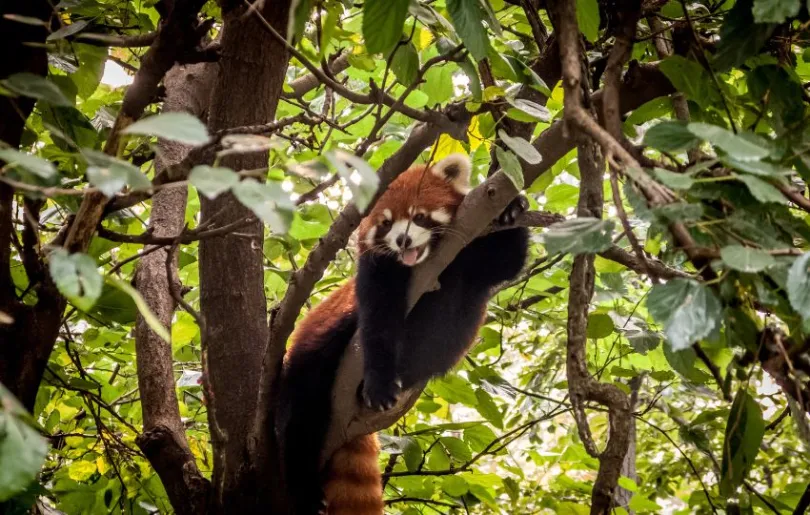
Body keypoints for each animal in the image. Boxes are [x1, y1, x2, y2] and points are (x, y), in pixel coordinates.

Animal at [274, 153, 528, 515]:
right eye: (385, 224)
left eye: (419, 217)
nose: (402, 240)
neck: (428, 267)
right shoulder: (376, 276)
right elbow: (378, 327)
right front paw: (380, 384)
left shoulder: (473, 261)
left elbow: (509, 260)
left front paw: (512, 206)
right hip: (308, 363)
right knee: (300, 418)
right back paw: (305, 488)